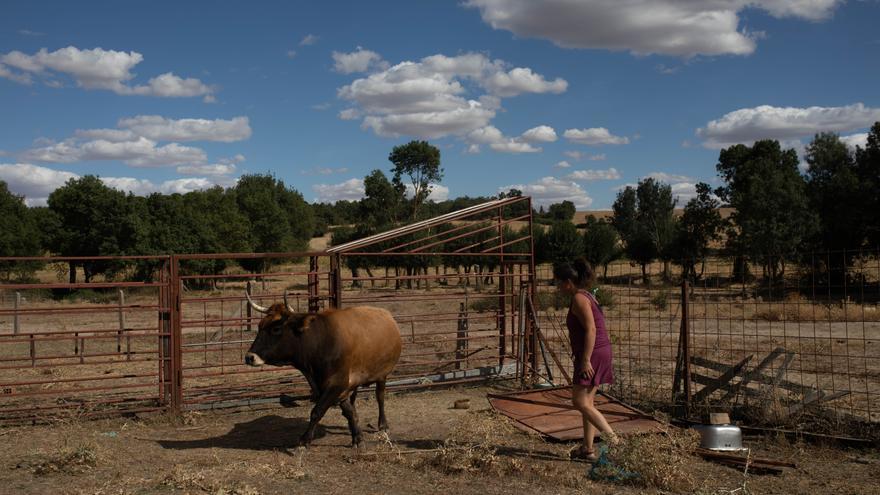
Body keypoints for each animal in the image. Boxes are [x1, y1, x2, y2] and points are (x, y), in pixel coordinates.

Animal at [244, 290, 402, 450]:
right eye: (260, 326)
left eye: (276, 328)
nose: (249, 357)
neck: (320, 342)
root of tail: (386, 314)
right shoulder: (336, 387)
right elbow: (349, 411)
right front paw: (357, 436)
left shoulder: (337, 384)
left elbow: (317, 411)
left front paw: (304, 440)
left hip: (382, 375)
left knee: (380, 397)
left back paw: (383, 425)